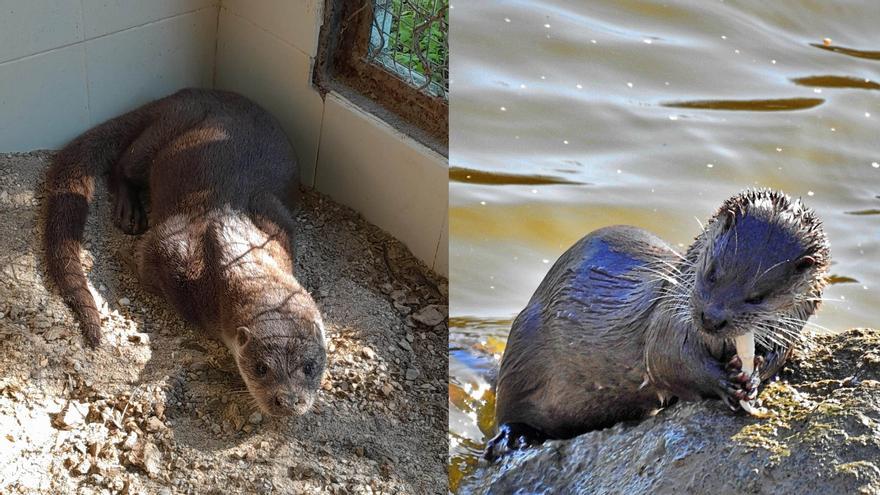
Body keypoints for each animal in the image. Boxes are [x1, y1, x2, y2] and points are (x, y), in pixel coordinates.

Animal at [43, 89, 326, 418]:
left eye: (309, 367)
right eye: (260, 367)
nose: (288, 401)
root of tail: (184, 94)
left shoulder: (276, 224)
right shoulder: (171, 251)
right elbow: (145, 256)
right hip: (167, 129)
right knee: (123, 166)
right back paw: (128, 211)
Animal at [484, 189, 828, 462]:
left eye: (758, 297)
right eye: (712, 273)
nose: (711, 318)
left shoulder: (789, 331)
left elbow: (778, 355)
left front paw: (753, 375)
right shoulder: (668, 320)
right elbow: (668, 360)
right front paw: (725, 382)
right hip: (522, 350)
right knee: (507, 409)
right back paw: (512, 438)